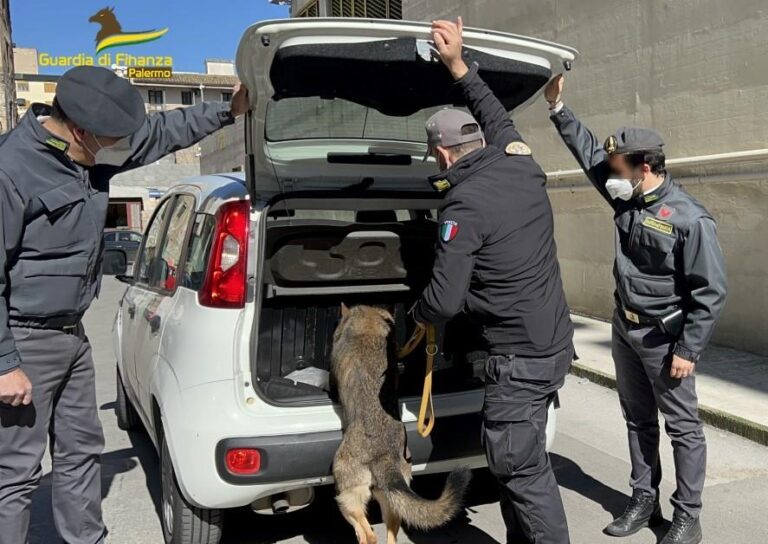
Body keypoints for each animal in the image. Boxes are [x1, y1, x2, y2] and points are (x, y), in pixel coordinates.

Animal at [332, 304, 472, 544]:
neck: (368, 325)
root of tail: (384, 457)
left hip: (347, 492)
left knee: (365, 529)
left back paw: (361, 534)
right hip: (390, 499)